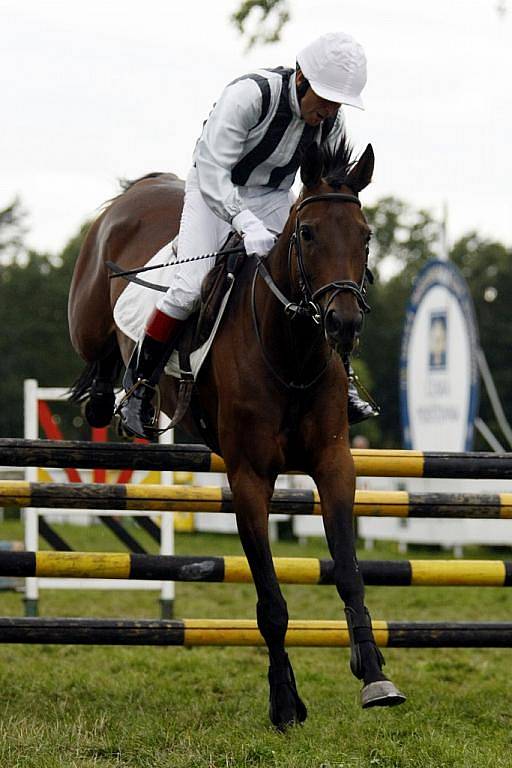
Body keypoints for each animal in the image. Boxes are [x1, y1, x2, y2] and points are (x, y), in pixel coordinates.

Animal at [68, 135, 406, 728]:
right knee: (103, 356)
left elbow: (349, 572)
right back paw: (121, 399)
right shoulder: (249, 477)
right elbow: (271, 601)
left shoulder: (334, 467)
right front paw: (285, 701)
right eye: (306, 233)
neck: (290, 350)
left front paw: (373, 673)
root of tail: (138, 190)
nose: (343, 324)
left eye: (366, 236)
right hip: (86, 318)